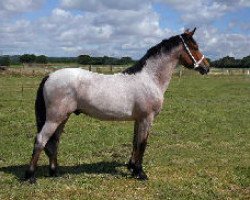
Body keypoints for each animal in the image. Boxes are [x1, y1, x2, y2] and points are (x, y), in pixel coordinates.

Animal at [24, 27, 209, 183]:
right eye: (194, 46)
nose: (206, 67)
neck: (150, 78)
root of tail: (50, 76)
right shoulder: (147, 118)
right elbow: (143, 144)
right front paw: (140, 173)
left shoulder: (138, 119)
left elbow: (135, 142)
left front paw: (132, 167)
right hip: (54, 118)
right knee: (41, 140)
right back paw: (30, 176)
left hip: (62, 118)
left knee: (54, 142)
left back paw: (54, 172)